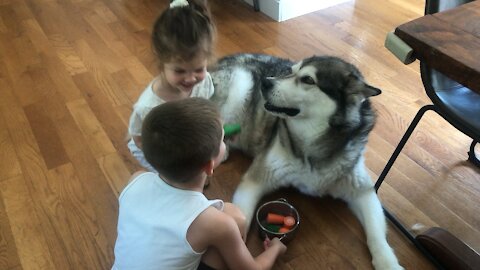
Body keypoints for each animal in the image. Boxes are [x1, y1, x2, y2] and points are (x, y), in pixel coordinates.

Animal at [212, 53, 404, 270]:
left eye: (307, 80)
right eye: (291, 71)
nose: (265, 82)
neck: (313, 144)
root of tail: (226, 59)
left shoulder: (362, 190)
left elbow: (377, 235)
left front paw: (388, 263)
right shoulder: (256, 178)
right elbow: (241, 217)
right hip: (241, 84)